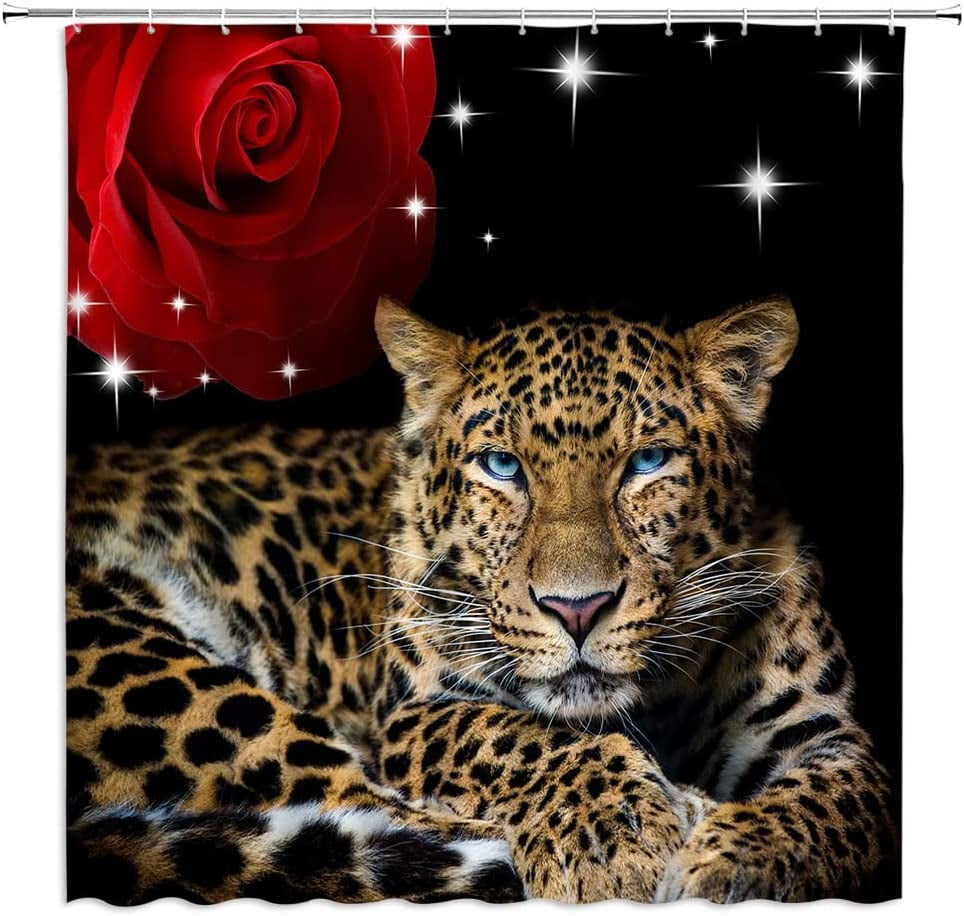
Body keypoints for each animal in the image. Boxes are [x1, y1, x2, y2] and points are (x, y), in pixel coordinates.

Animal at [66, 295, 895, 904]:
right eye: (502, 467)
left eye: (649, 462)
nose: (577, 609)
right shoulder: (422, 712)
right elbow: (521, 739)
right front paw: (618, 832)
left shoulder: (828, 738)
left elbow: (833, 808)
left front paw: (731, 859)